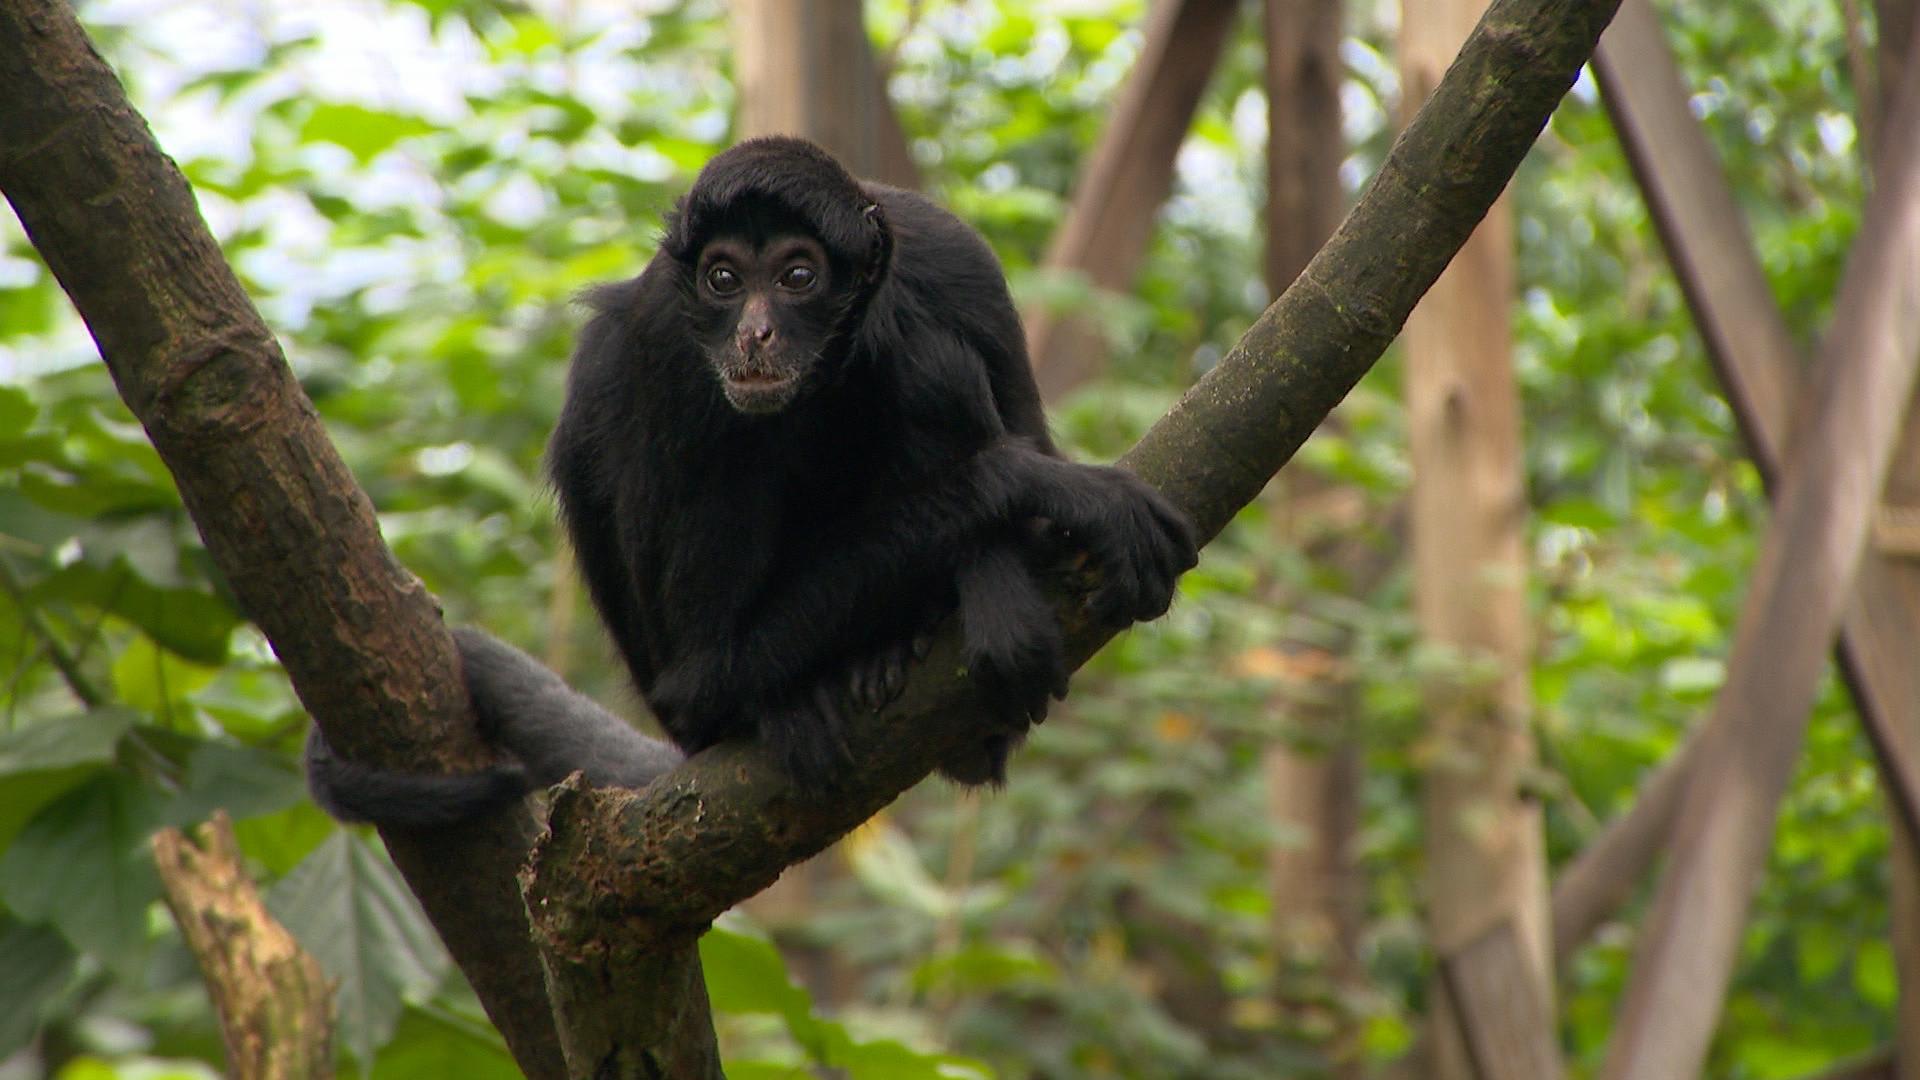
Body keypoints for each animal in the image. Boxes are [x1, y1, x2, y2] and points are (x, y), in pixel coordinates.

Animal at [307, 136, 1190, 822]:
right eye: (724, 279)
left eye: (797, 277)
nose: (755, 332)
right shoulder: (665, 331)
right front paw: (1045, 488)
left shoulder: (954, 258)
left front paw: (997, 593)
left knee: (925, 355)